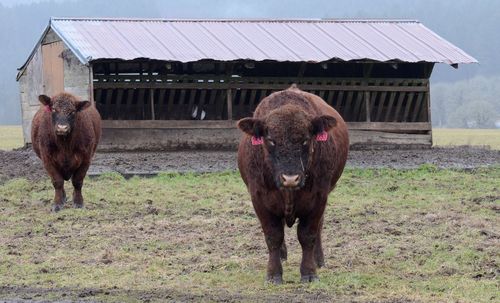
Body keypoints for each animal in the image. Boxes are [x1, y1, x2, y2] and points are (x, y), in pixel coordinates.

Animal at [237, 85, 348, 284]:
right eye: (271, 140)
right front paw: (273, 274)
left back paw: (319, 259)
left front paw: (310, 272)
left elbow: (308, 235)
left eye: (306, 139)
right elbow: (273, 236)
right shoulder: (259, 198)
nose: (290, 178)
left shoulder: (319, 197)